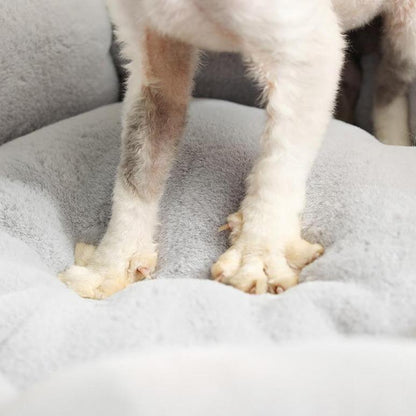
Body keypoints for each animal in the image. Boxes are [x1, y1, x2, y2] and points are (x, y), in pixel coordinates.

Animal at [59, 0, 416, 300]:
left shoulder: (306, 45)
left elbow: (279, 165)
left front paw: (259, 250)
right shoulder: (152, 44)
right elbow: (137, 166)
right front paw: (112, 263)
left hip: (406, 28)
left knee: (389, 79)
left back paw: (393, 142)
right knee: (359, 76)